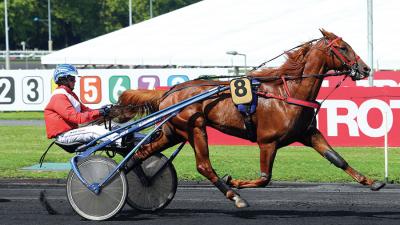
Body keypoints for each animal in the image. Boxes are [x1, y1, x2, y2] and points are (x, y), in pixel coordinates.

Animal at [109, 29, 384, 207]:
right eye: (343, 47)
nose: (365, 69)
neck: (289, 93)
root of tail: (169, 91)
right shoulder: (268, 142)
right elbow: (264, 179)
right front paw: (236, 182)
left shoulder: (308, 134)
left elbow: (337, 159)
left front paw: (371, 182)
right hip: (194, 127)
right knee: (204, 165)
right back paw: (234, 195)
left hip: (173, 132)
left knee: (141, 154)